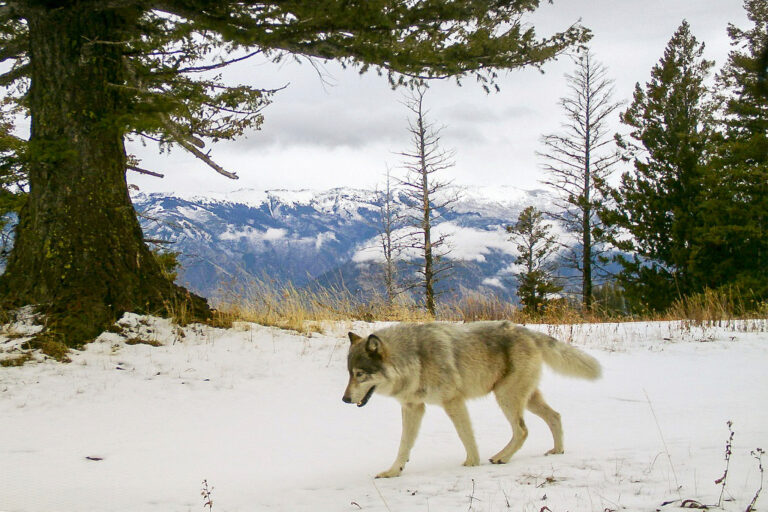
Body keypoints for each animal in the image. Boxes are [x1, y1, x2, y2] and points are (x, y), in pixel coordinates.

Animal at [342, 321, 601, 478]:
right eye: (349, 374)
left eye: (360, 374)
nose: (344, 399)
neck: (415, 359)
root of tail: (527, 331)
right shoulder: (413, 407)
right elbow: (404, 444)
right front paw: (393, 472)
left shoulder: (453, 401)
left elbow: (465, 435)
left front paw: (472, 464)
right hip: (525, 399)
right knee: (555, 416)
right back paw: (557, 450)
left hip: (506, 397)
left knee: (522, 430)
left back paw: (501, 457)